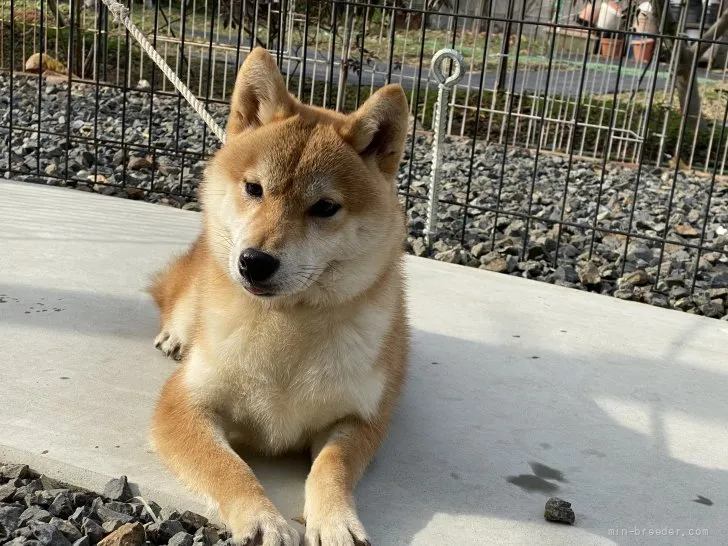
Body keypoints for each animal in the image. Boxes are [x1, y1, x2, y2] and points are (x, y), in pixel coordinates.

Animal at [148, 47, 410, 544]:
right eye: (254, 189)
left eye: (325, 208)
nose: (254, 261)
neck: (284, 325)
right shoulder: (184, 404)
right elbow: (227, 467)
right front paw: (261, 517)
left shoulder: (361, 416)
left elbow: (332, 467)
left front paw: (337, 520)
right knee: (176, 300)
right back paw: (174, 335)